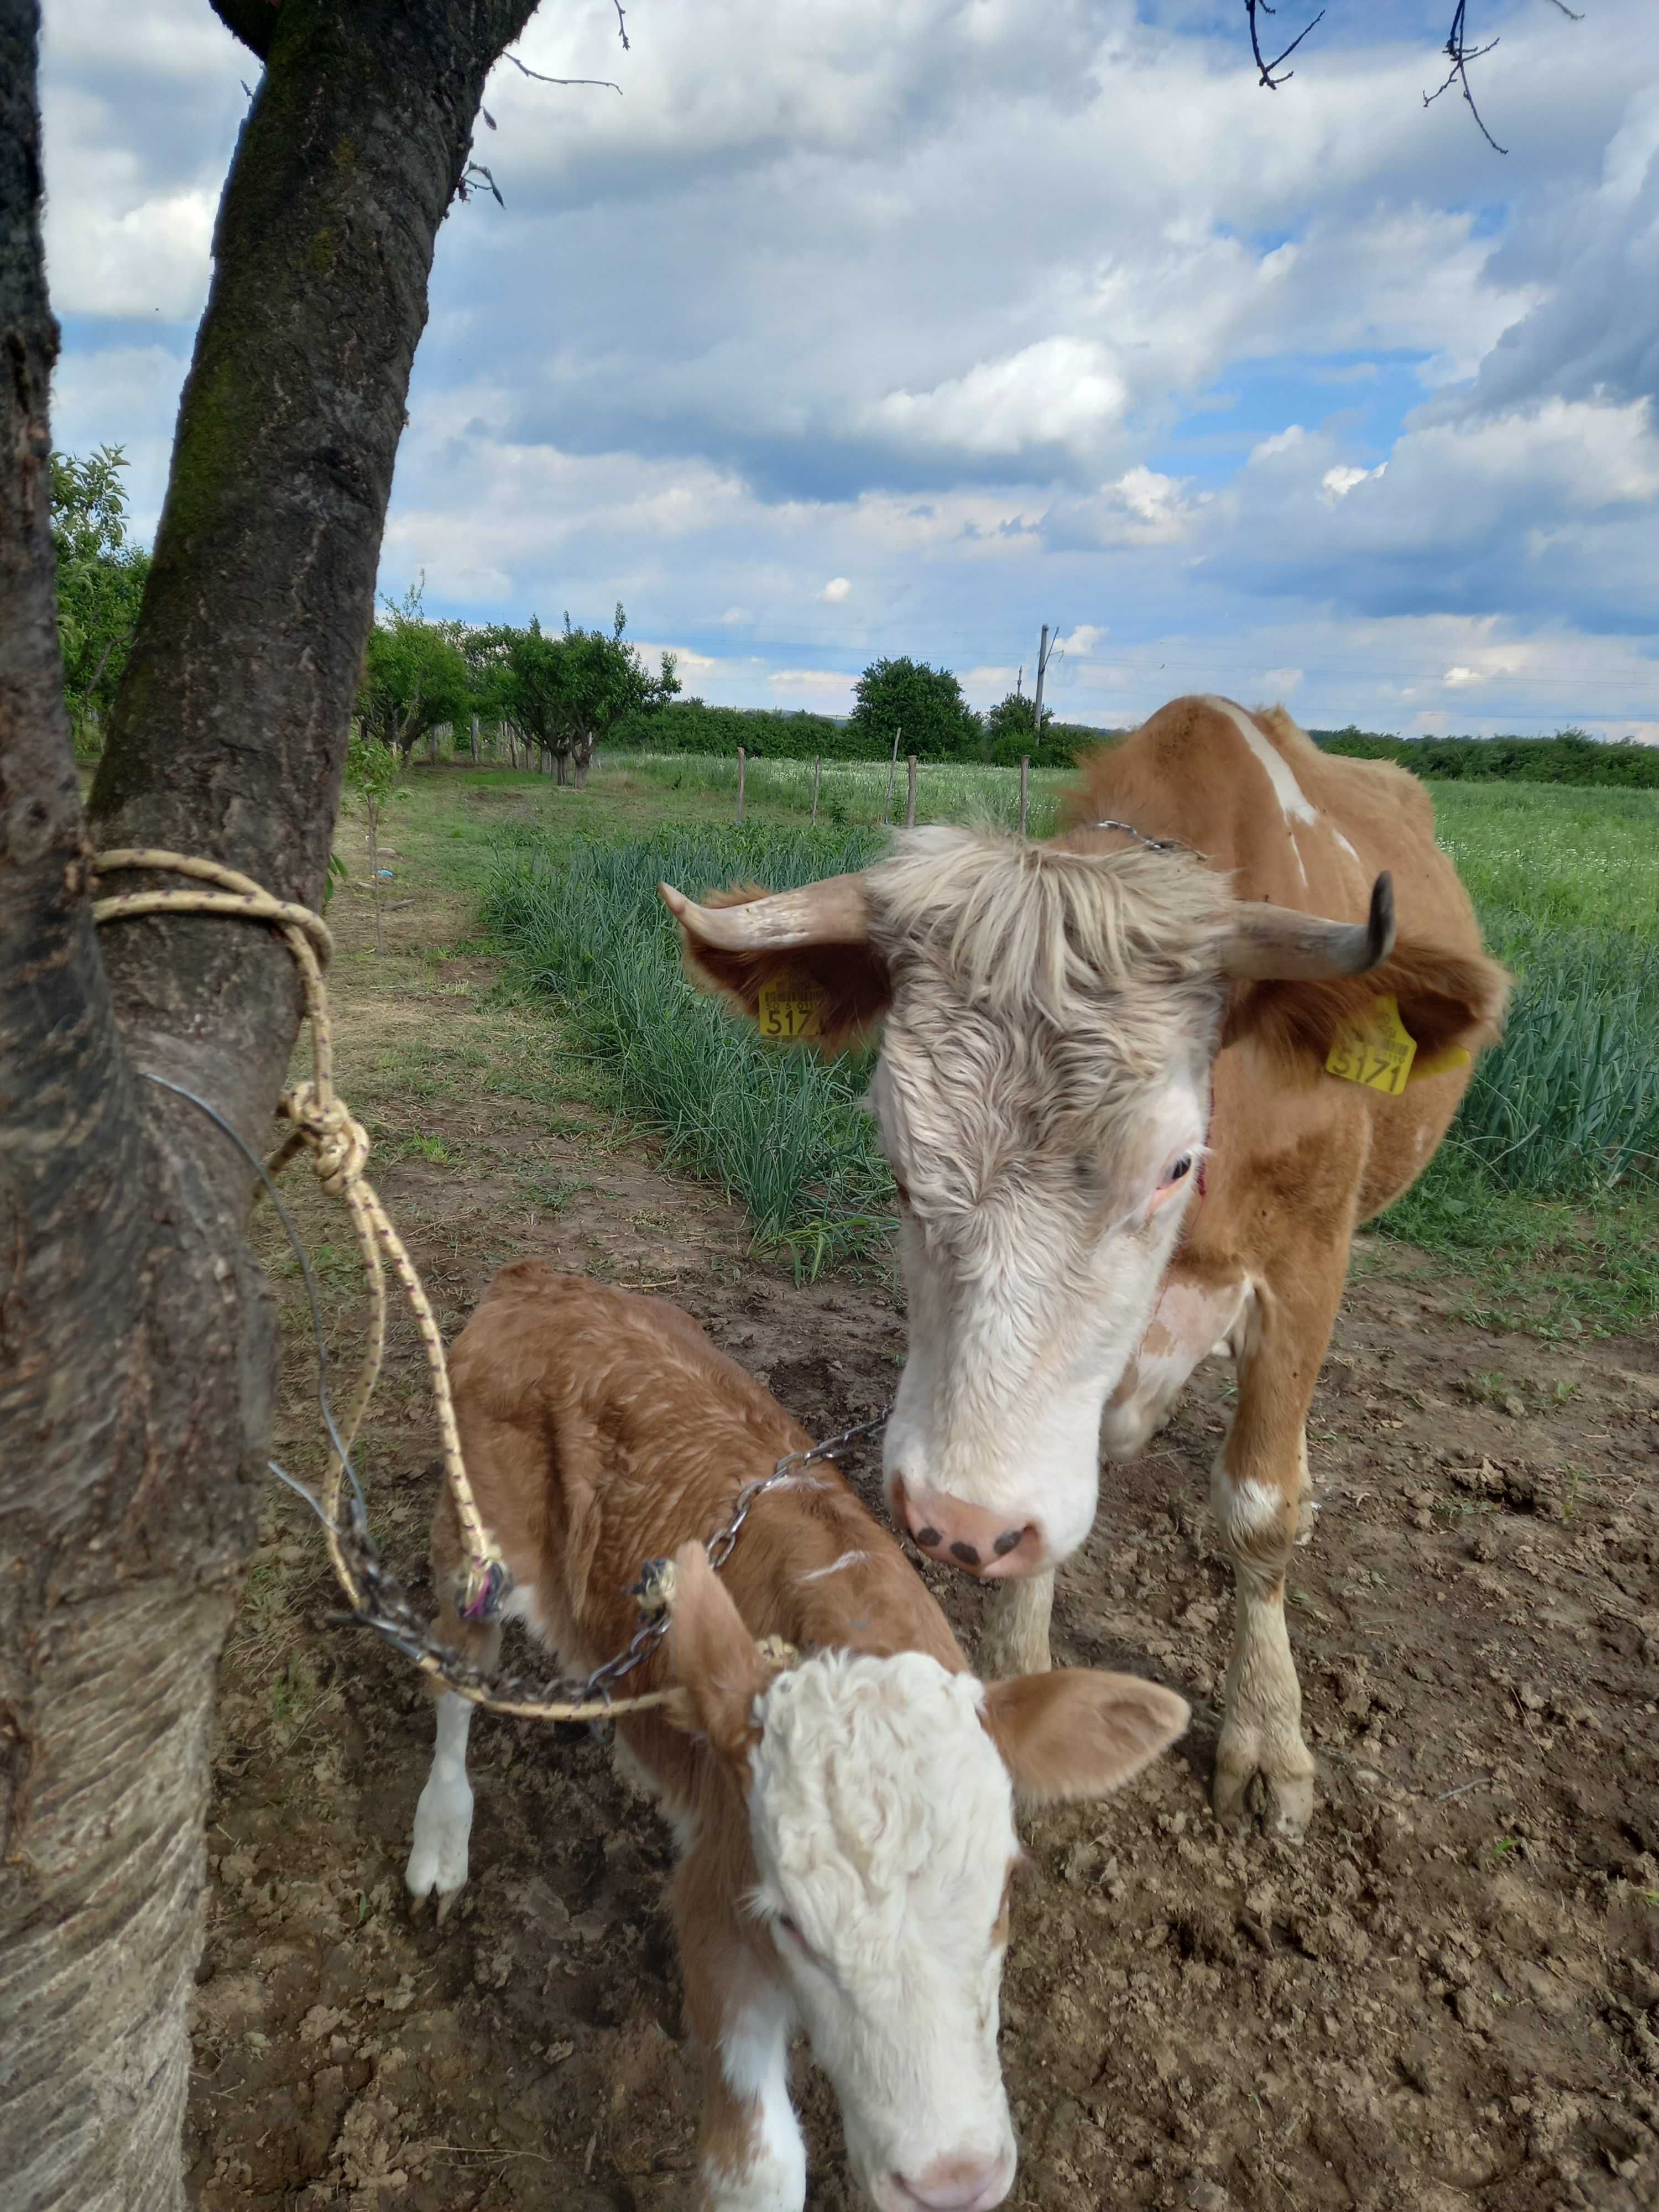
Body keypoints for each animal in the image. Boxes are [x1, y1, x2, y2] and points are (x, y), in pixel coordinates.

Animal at [405, 1265, 1186, 2212]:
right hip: (475, 1543)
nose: (953, 2181)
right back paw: (439, 1844)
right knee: (455, 1680)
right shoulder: (715, 1903)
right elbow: (758, 2168)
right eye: (791, 1923)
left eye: (1006, 1887)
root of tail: (541, 1281)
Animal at [668, 699, 1522, 1840]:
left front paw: (1267, 1734)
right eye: (895, 1163)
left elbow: (1261, 1508)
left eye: (1174, 1166)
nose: (954, 1523)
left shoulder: (1308, 1266)